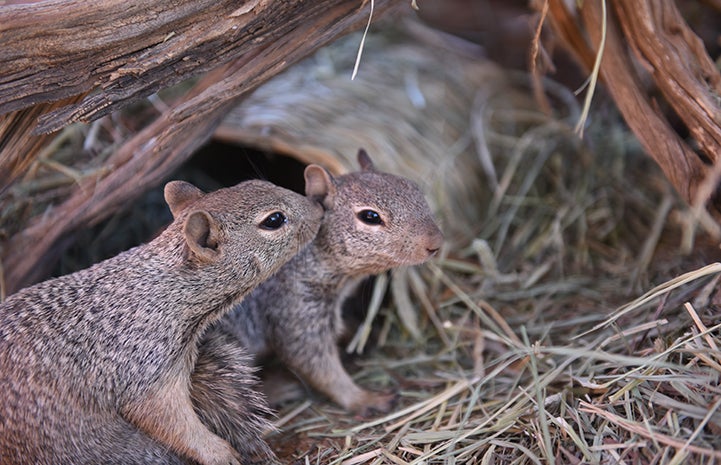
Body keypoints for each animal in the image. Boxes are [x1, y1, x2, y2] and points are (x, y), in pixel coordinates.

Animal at [0, 179, 320, 464]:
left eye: (258, 182)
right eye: (274, 220)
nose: (319, 208)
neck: (160, 289)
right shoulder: (146, 376)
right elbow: (174, 424)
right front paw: (221, 453)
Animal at [200, 150, 442, 416]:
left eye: (415, 189)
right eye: (370, 217)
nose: (436, 242)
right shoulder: (295, 307)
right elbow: (319, 367)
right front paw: (365, 398)